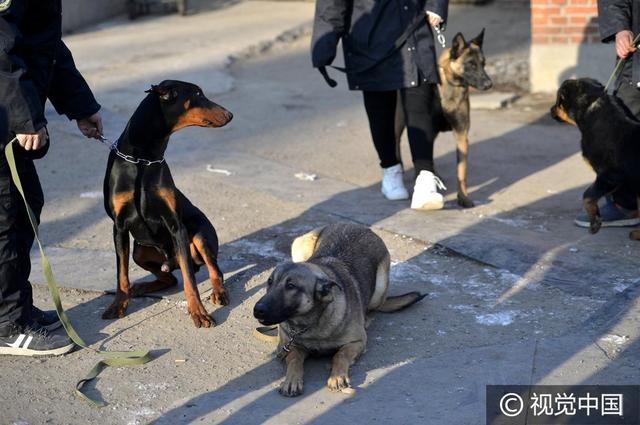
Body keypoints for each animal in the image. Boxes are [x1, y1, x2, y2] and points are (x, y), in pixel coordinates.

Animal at [104, 79, 234, 326]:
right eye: (198, 94)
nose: (230, 114)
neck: (142, 160)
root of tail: (169, 260)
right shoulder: (119, 226)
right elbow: (121, 275)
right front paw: (118, 305)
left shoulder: (176, 225)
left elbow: (190, 280)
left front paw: (198, 312)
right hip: (139, 251)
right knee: (169, 278)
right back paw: (140, 287)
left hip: (200, 235)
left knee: (212, 271)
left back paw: (218, 292)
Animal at [252, 222, 428, 394]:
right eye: (269, 282)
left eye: (291, 286)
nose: (257, 310)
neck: (311, 324)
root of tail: (359, 226)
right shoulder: (288, 346)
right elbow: (294, 359)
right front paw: (292, 380)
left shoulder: (357, 341)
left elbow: (340, 355)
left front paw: (337, 376)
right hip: (300, 245)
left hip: (380, 287)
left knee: (375, 307)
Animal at [392, 29, 492, 208]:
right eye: (471, 64)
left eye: (483, 63)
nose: (489, 84)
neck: (450, 88)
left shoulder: (461, 135)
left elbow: (461, 172)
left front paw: (463, 198)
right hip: (400, 123)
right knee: (396, 142)